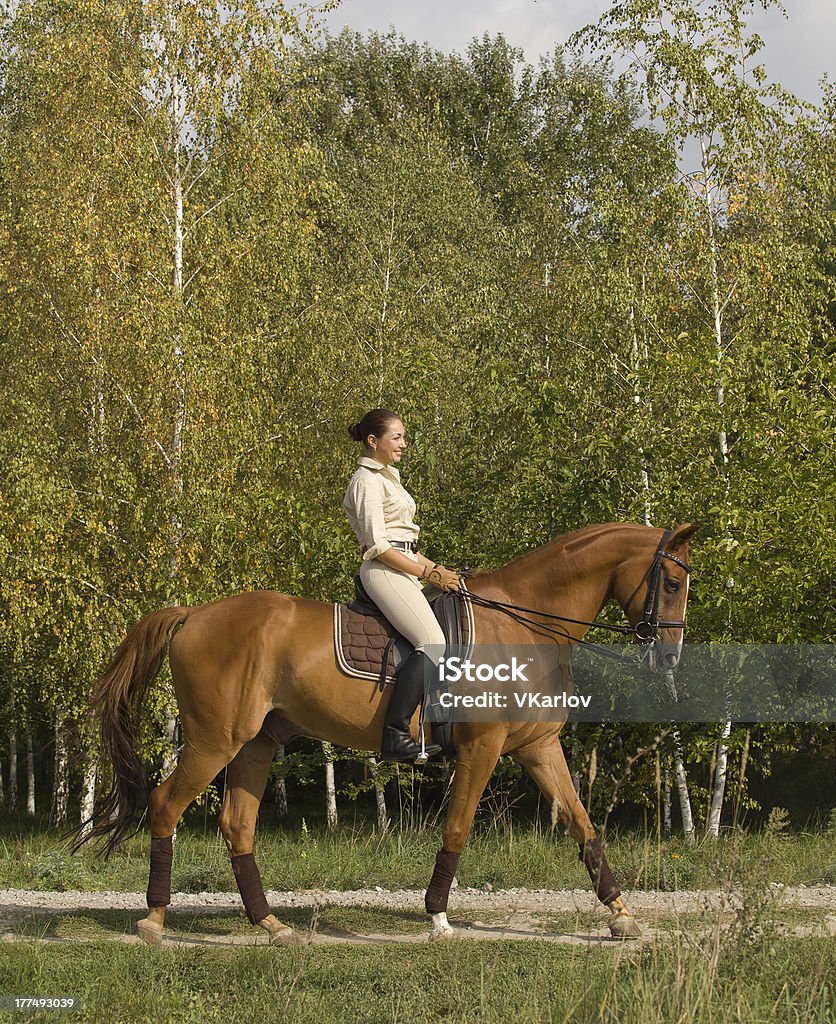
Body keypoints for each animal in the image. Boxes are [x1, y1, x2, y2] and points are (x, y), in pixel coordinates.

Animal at [78, 524, 696, 946]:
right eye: (670, 582)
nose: (671, 659)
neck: (522, 624)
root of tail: (194, 614)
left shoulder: (538, 748)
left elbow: (582, 825)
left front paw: (621, 913)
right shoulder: (482, 751)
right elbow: (457, 828)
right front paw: (438, 914)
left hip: (255, 744)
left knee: (237, 826)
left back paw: (271, 924)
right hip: (215, 741)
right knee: (165, 804)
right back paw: (154, 921)